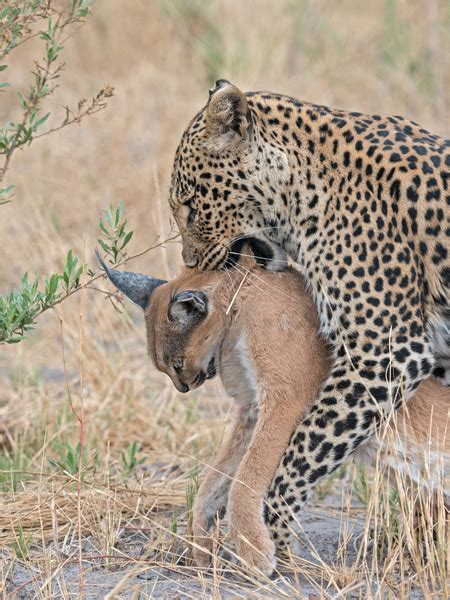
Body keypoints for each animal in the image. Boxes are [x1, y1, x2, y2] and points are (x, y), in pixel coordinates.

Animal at [96, 250, 448, 576]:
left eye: (176, 364)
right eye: (166, 368)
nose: (183, 387)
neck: (239, 305)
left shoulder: (283, 399)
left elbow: (247, 477)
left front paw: (254, 553)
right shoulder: (250, 408)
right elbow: (215, 479)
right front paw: (202, 541)